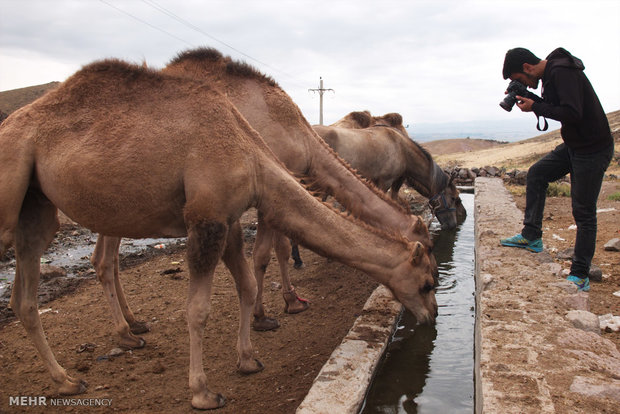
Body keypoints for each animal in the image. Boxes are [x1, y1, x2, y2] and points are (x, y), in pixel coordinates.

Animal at [93, 47, 440, 334]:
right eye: (428, 246)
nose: (437, 276)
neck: (302, 138)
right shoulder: (270, 188)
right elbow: (266, 254)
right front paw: (273, 311)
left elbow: (277, 250)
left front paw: (287, 301)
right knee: (106, 260)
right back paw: (126, 332)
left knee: (104, 257)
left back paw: (134, 322)